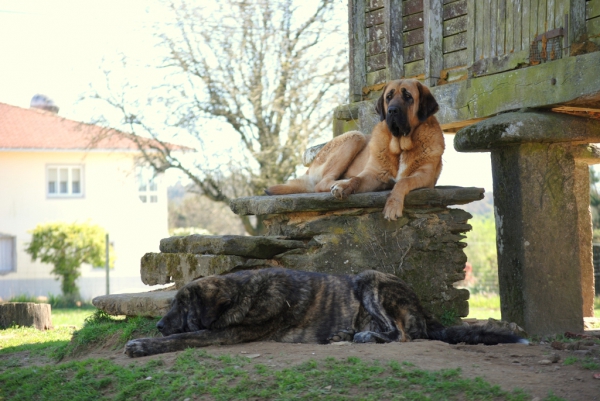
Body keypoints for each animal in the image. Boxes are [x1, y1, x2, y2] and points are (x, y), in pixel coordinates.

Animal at [264, 78, 442, 220]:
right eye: (388, 97)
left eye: (408, 97)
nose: (392, 110)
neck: (400, 147)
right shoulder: (373, 174)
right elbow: (357, 179)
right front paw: (344, 186)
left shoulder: (424, 176)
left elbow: (403, 182)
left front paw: (393, 205)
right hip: (355, 136)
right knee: (321, 184)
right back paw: (340, 182)